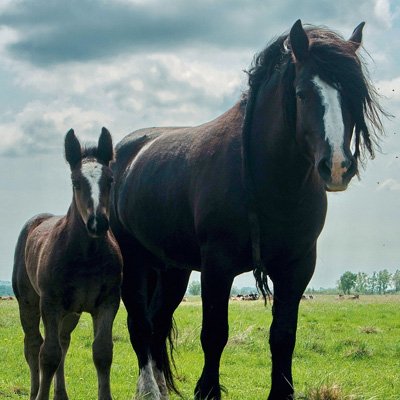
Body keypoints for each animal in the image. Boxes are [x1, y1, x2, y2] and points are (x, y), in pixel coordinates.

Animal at [12, 129, 122, 400]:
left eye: (110, 180)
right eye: (76, 182)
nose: (97, 223)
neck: (87, 256)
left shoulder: (108, 302)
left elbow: (102, 352)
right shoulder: (50, 303)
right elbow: (48, 355)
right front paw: (41, 396)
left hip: (71, 311)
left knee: (63, 341)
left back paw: (60, 394)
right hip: (29, 302)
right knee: (34, 344)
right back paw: (34, 392)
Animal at [109, 21, 384, 400]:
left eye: (354, 95)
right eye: (302, 93)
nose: (338, 167)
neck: (266, 181)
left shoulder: (297, 267)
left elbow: (283, 336)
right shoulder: (217, 266)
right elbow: (214, 334)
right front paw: (207, 390)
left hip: (173, 269)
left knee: (158, 322)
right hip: (135, 261)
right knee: (140, 324)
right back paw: (149, 390)